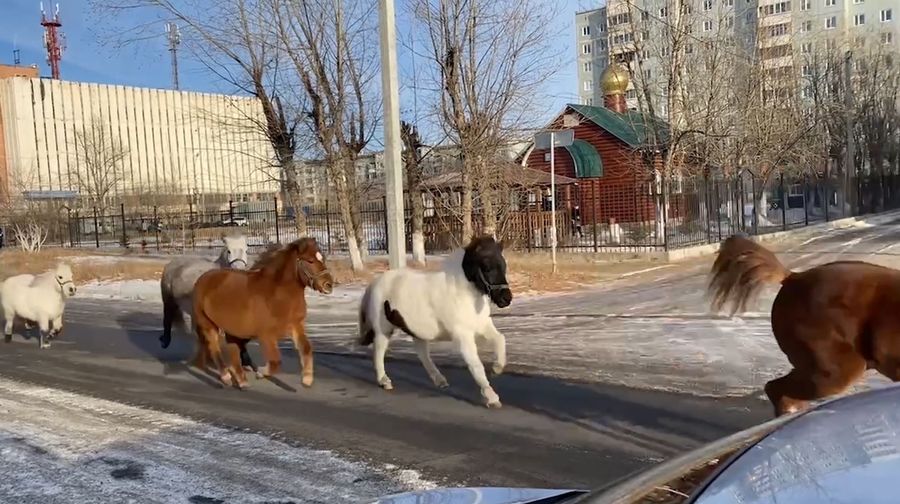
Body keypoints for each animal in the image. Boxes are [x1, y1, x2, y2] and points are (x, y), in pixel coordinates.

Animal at [191, 237, 334, 389]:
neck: (279, 294)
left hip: (233, 330)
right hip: (207, 323)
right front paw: (260, 372)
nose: (328, 285)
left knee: (233, 348)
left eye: (322, 258)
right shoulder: (266, 335)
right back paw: (226, 377)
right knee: (214, 348)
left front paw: (307, 379)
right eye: (310, 261)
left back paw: (241, 380)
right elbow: (275, 361)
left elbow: (306, 348)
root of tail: (203, 278)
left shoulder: (296, 325)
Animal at [357, 235, 512, 408]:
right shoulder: (462, 334)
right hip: (384, 329)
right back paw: (384, 381)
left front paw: (497, 369)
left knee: (422, 354)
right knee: (378, 351)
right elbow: (475, 365)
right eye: (486, 266)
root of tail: (374, 283)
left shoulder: (483, 325)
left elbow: (500, 339)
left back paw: (440, 381)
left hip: (415, 330)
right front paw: (491, 398)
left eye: (503, 265)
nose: (506, 298)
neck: (462, 293)